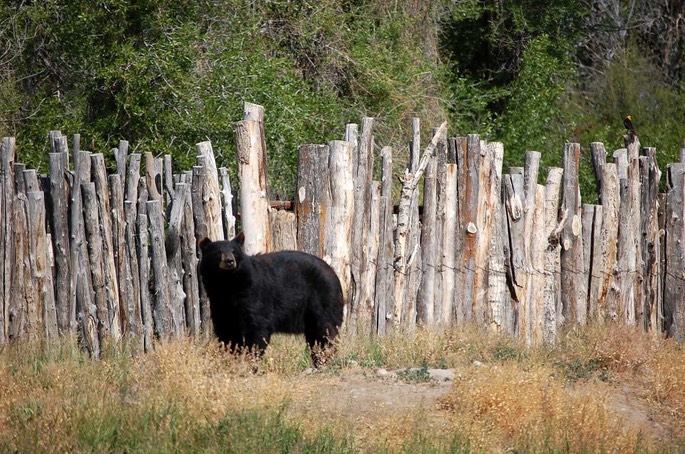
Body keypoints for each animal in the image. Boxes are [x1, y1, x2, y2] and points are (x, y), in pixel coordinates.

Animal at [198, 232, 344, 367]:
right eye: (218, 252)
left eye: (234, 251)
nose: (229, 261)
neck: (227, 283)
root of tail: (332, 271)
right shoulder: (219, 301)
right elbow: (227, 329)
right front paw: (232, 357)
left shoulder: (253, 294)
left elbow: (257, 326)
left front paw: (252, 360)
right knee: (315, 335)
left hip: (323, 298)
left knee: (325, 329)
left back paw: (324, 358)